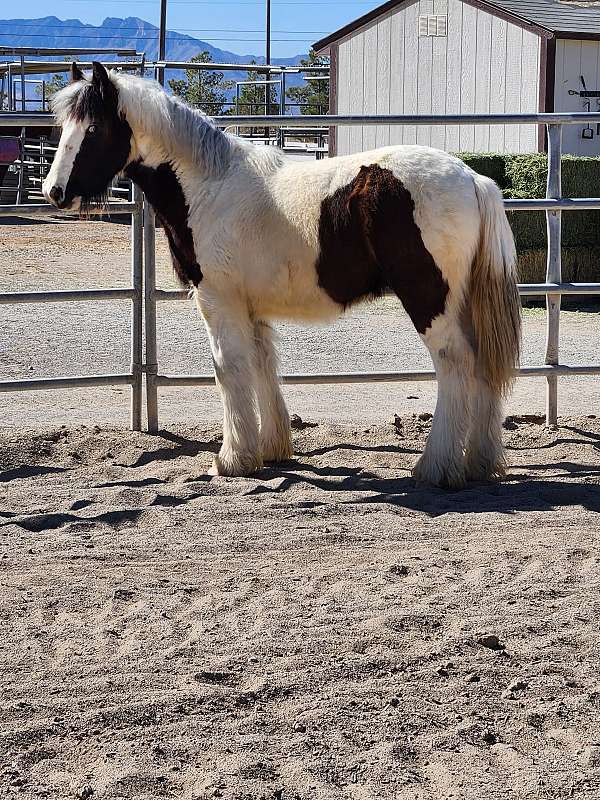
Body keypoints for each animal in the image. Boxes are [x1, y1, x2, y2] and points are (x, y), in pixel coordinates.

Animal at [43, 62, 520, 488]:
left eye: (93, 129)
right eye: (63, 127)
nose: (54, 192)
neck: (209, 187)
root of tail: (473, 178)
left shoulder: (219, 301)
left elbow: (229, 370)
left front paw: (232, 460)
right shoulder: (252, 309)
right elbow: (263, 366)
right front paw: (271, 449)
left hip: (428, 299)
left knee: (455, 364)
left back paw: (437, 467)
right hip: (462, 304)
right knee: (482, 365)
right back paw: (479, 463)